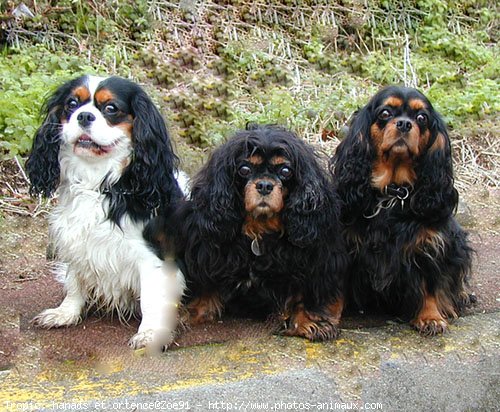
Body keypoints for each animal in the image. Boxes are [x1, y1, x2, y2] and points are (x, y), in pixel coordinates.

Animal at [332, 85, 472, 334]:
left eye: (422, 118)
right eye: (385, 113)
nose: (405, 124)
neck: (393, 192)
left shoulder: (430, 244)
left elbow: (430, 284)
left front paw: (430, 316)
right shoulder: (346, 244)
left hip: (458, 240)